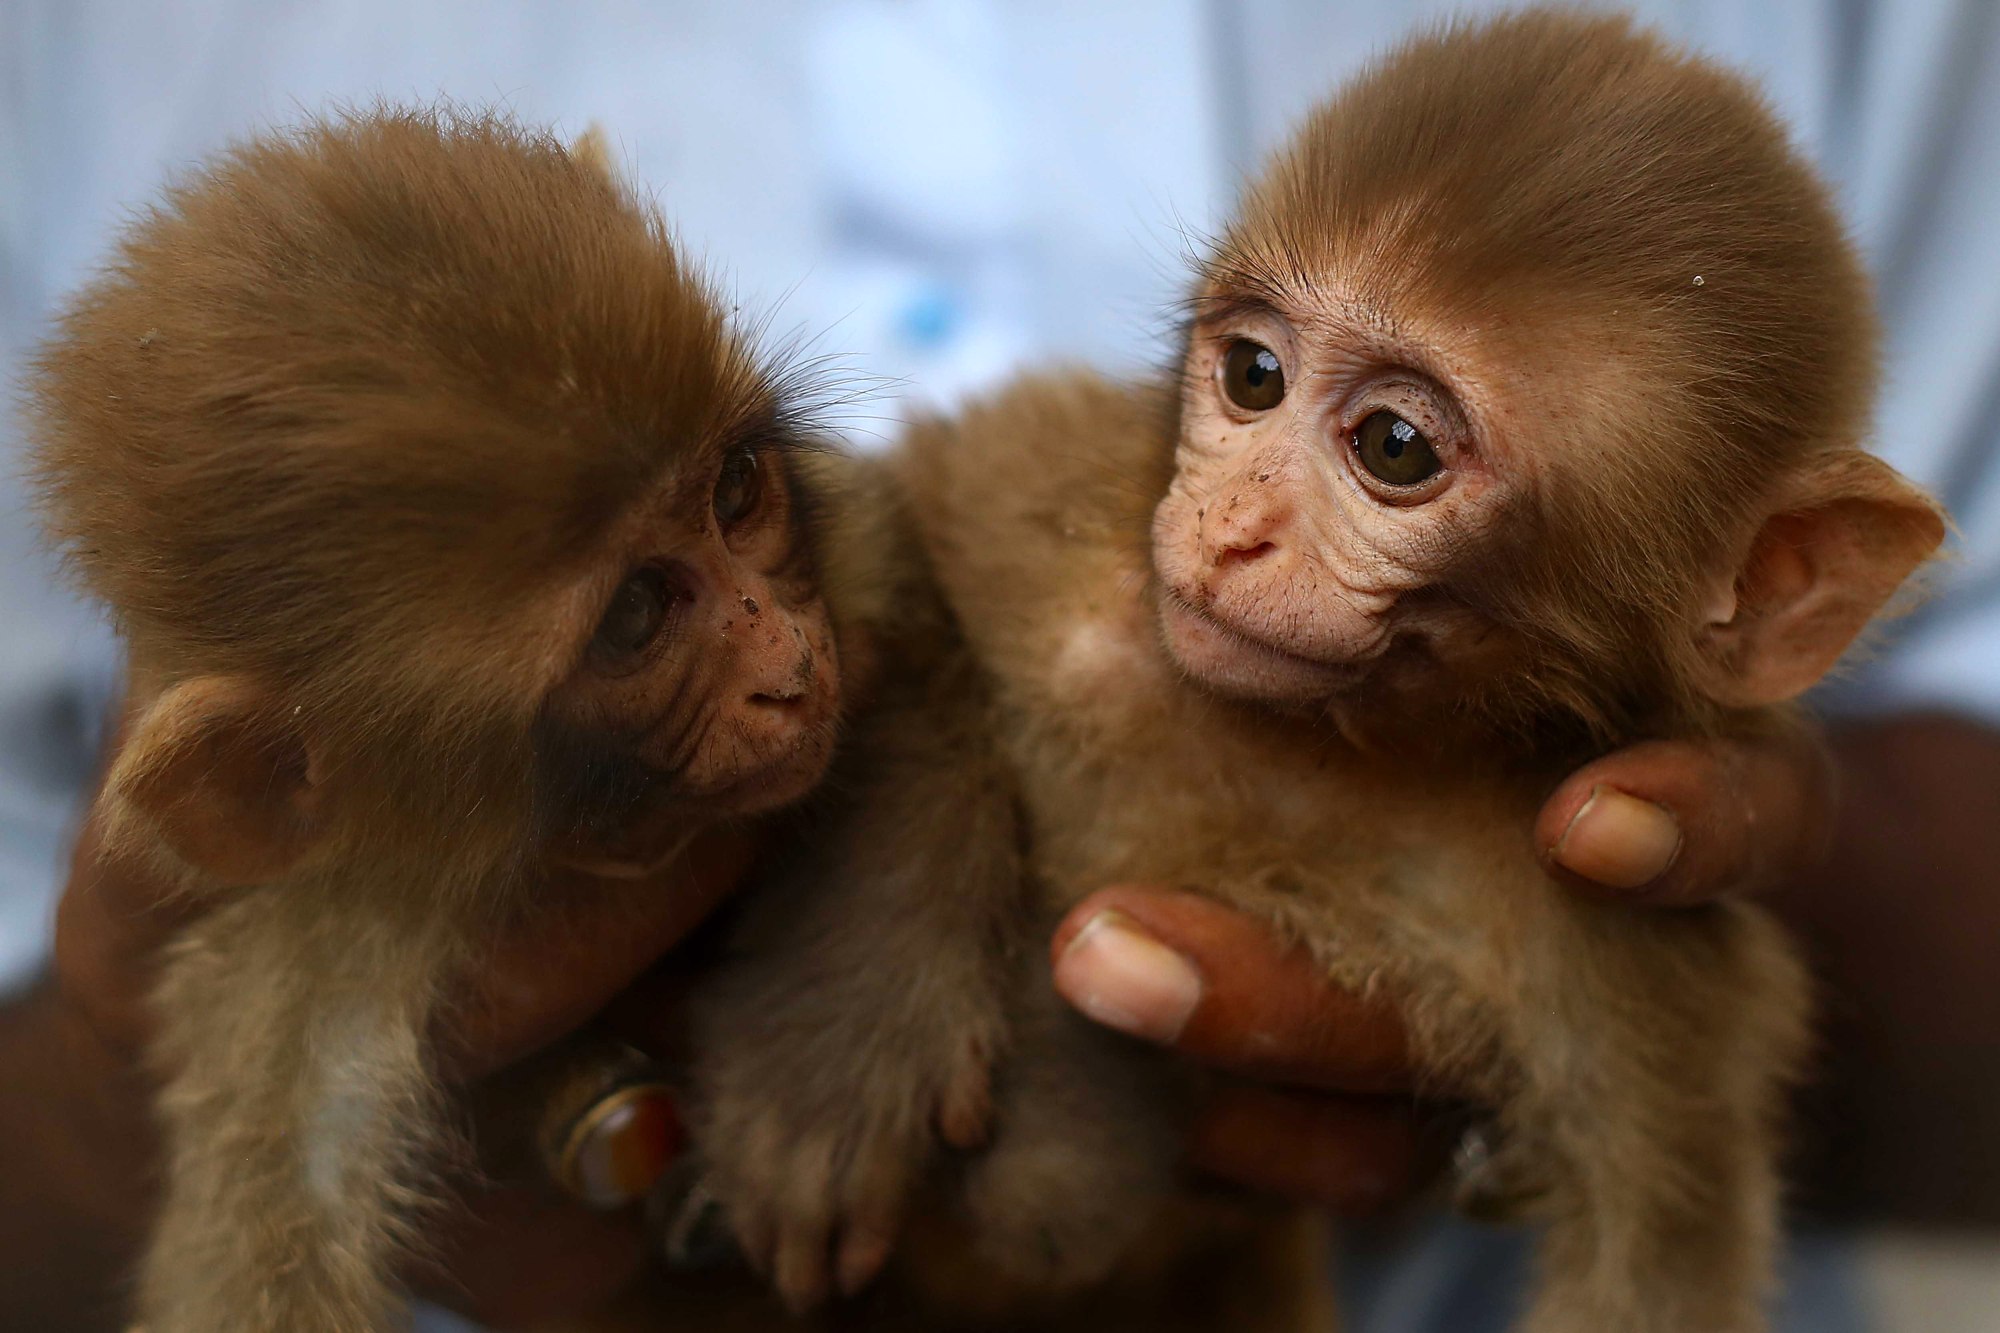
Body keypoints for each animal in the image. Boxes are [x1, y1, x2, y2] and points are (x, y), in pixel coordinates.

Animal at [672, 10, 1936, 1328]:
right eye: (1252, 376)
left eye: (1395, 446)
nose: (1230, 526)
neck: (1322, 740)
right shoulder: (1059, 529)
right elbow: (868, 550)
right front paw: (838, 1037)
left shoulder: (1617, 938)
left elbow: (1658, 1263)